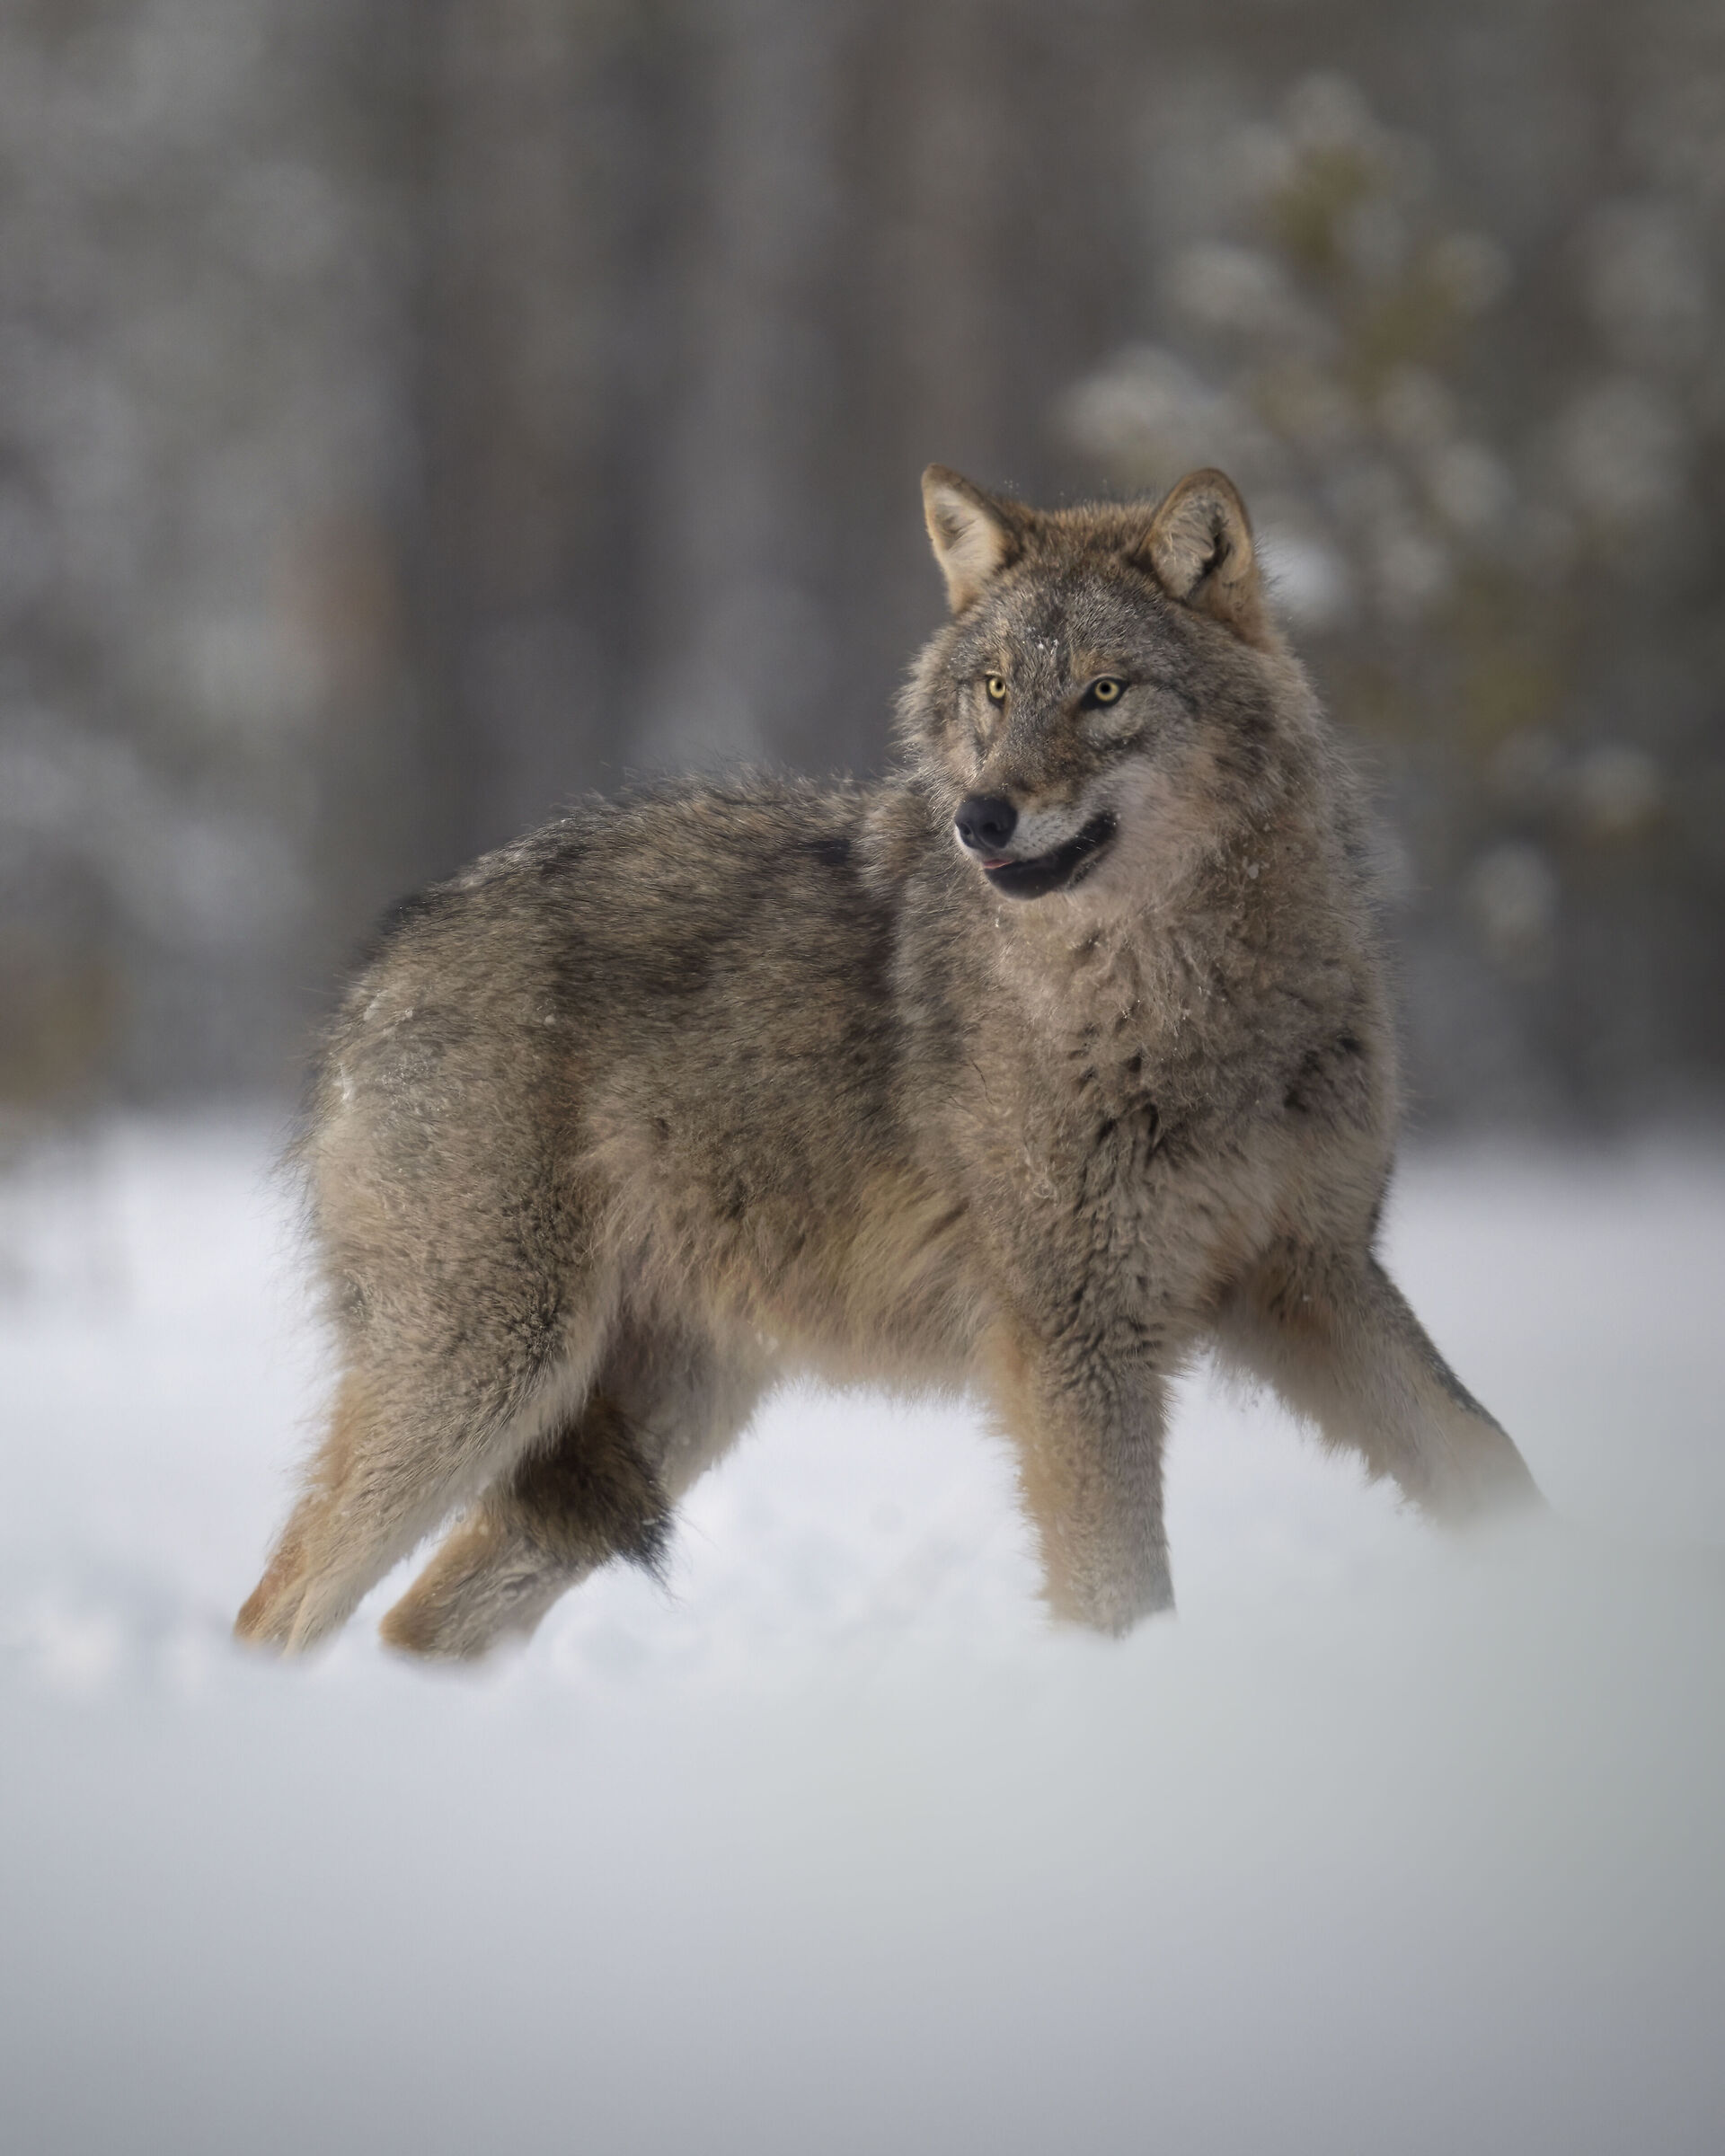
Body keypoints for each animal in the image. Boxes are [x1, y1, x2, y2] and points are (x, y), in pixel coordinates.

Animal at [236, 464, 1539, 1658]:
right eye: (997, 689)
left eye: (1104, 691)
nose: (981, 818)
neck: (1179, 999)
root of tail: (385, 959)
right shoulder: (1078, 1339)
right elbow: (1124, 1600)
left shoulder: (1314, 1273)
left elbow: (1494, 1466)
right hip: (486, 1377)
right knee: (280, 1611)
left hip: (643, 1423)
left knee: (414, 1625)